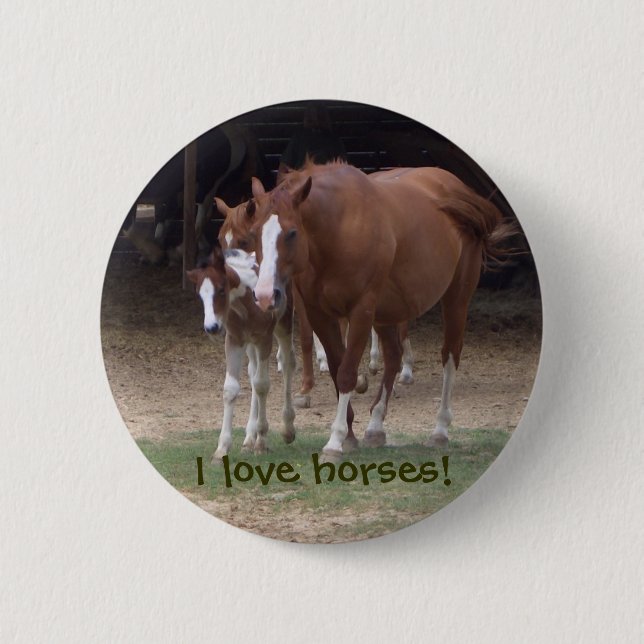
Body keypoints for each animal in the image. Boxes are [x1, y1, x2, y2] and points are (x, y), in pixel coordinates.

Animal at [186, 246, 296, 462]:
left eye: (221, 289)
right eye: (199, 295)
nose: (211, 328)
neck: (246, 304)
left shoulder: (264, 339)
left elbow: (262, 385)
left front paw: (262, 442)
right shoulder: (234, 340)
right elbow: (231, 389)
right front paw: (222, 449)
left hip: (283, 325)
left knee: (287, 364)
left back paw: (287, 429)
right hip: (250, 344)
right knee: (253, 373)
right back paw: (249, 438)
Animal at [248, 160, 513, 459]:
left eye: (292, 232)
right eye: (254, 233)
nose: (265, 295)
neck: (338, 229)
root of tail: (457, 189)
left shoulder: (361, 311)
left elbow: (347, 373)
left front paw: (336, 441)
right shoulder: (320, 314)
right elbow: (338, 368)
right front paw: (350, 435)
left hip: (456, 299)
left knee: (450, 356)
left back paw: (440, 430)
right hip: (388, 312)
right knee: (394, 357)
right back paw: (375, 426)